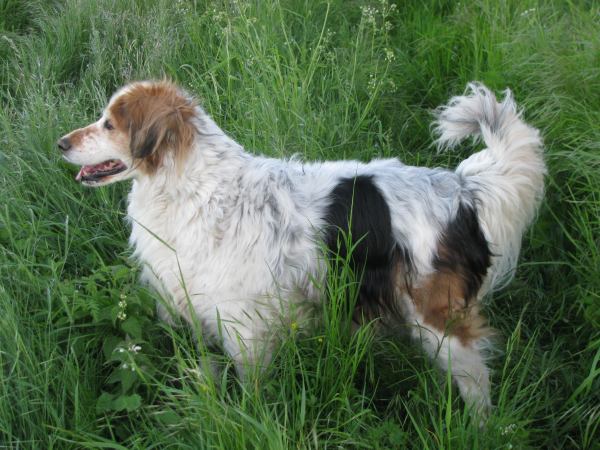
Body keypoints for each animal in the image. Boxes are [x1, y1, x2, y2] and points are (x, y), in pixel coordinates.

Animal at [58, 80, 548, 412]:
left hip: (439, 322)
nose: (60, 143)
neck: (197, 189)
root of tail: (463, 189)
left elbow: (251, 386)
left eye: (109, 123)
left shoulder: (245, 325)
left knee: (477, 381)